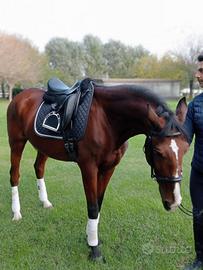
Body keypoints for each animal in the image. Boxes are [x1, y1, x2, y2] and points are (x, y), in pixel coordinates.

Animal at [6, 79, 190, 260]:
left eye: (186, 149)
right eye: (158, 152)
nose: (174, 201)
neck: (107, 120)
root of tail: (20, 96)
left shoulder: (108, 168)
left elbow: (99, 203)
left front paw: (91, 238)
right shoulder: (89, 168)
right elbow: (93, 206)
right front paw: (94, 250)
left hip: (43, 146)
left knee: (39, 168)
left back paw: (44, 201)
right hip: (16, 142)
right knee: (14, 175)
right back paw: (16, 213)